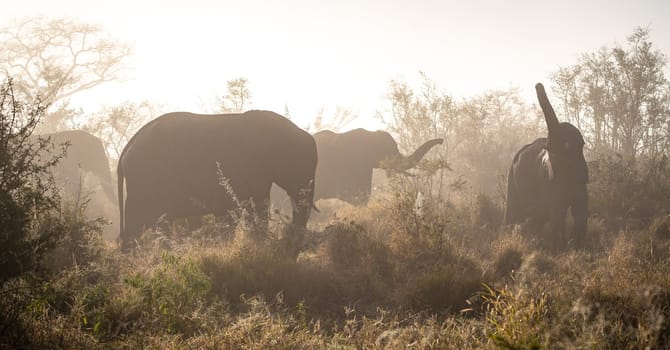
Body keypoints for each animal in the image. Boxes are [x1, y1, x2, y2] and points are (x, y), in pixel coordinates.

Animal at [506, 83, 592, 247]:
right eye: (548, 147)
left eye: (566, 145)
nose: (538, 85)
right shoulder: (548, 179)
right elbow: (557, 211)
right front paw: (564, 247)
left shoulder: (580, 177)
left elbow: (580, 208)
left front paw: (575, 246)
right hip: (512, 180)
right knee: (515, 212)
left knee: (538, 216)